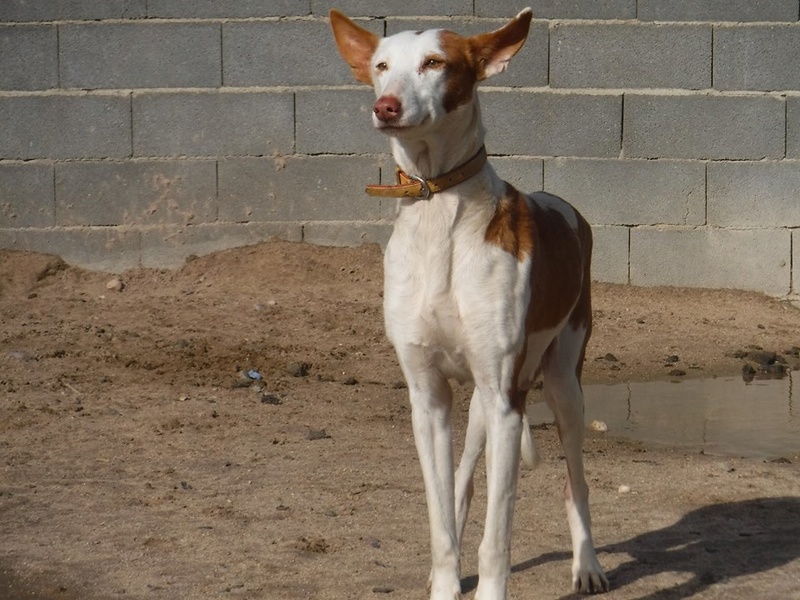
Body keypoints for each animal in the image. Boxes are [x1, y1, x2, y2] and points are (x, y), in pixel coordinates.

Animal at [328, 9, 608, 600]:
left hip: (561, 385)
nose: (385, 107)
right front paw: (445, 581)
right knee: (462, 479)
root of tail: (563, 206)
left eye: (435, 63)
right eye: (381, 66)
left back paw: (588, 565)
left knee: (575, 480)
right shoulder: (429, 398)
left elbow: (497, 537)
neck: (439, 210)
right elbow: (442, 523)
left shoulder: (506, 403)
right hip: (483, 399)